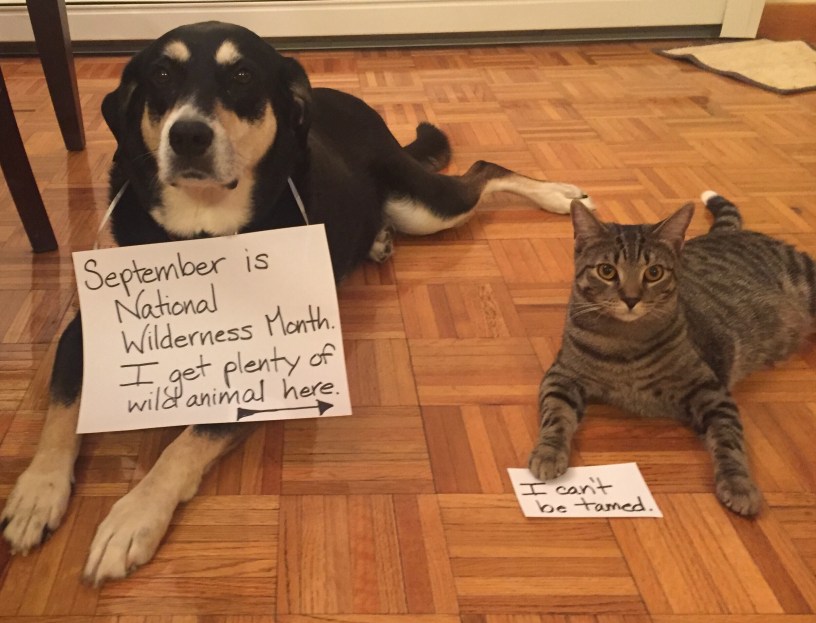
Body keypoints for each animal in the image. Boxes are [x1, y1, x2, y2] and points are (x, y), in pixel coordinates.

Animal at [1, 21, 592, 585]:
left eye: (242, 76)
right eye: (162, 76)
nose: (187, 134)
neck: (201, 231)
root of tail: (355, 103)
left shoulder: (265, 371)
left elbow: (182, 446)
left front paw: (132, 519)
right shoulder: (85, 331)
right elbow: (61, 411)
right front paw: (37, 492)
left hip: (426, 207)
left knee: (485, 170)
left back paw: (558, 194)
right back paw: (378, 240)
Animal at [528, 191, 816, 516]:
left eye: (653, 272)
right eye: (607, 271)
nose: (631, 299)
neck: (624, 343)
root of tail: (726, 232)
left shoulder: (710, 390)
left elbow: (728, 438)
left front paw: (739, 484)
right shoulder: (561, 375)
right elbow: (555, 414)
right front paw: (548, 452)